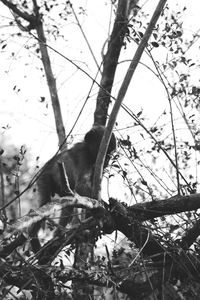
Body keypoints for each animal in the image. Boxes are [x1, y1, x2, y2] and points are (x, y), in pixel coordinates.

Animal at [30, 125, 116, 253]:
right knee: (45, 202)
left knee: (68, 204)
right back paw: (33, 237)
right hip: (44, 178)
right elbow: (81, 186)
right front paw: (104, 207)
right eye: (106, 152)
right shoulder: (83, 154)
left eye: (110, 153)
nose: (107, 160)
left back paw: (59, 235)